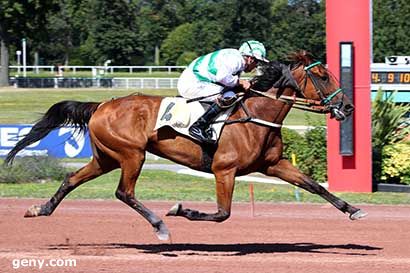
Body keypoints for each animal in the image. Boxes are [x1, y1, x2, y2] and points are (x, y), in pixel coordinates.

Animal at [5, 51, 366, 240]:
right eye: (322, 76)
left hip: (105, 157)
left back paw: (40, 209)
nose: (347, 107)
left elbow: (314, 186)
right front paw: (182, 210)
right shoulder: (224, 170)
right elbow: (222, 214)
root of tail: (101, 105)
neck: (255, 116)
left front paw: (353, 209)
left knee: (71, 179)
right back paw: (160, 225)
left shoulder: (274, 164)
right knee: (124, 192)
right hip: (131, 154)